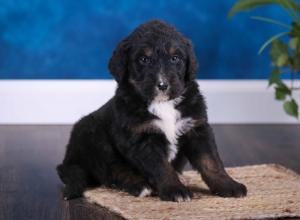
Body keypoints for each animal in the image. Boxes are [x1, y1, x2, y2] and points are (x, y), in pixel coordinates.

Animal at [56, 19, 246, 202]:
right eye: (144, 60)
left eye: (175, 58)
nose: (162, 85)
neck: (163, 104)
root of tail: (69, 159)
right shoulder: (142, 138)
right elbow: (161, 167)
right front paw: (175, 190)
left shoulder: (196, 127)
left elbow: (211, 161)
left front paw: (229, 185)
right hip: (94, 135)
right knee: (112, 171)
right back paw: (141, 186)